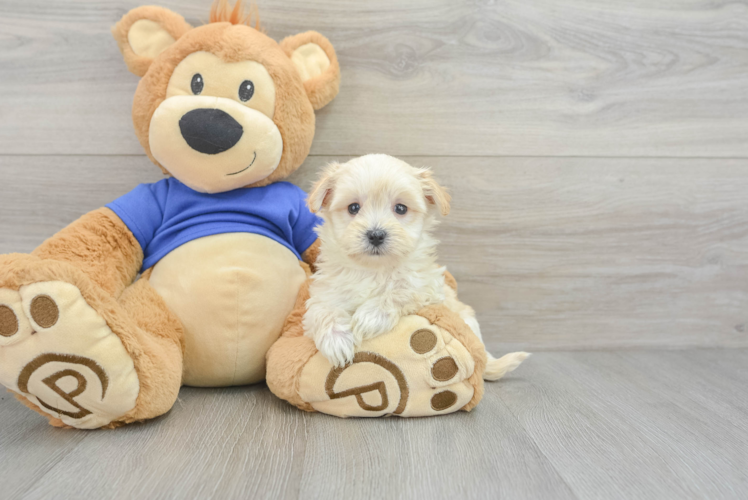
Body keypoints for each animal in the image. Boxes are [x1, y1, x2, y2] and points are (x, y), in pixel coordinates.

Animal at [302, 154, 524, 380]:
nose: (376, 235)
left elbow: (401, 292)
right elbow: (322, 310)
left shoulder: (428, 285)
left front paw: (369, 317)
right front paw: (336, 340)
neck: (375, 270)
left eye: (401, 208)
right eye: (353, 208)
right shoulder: (327, 290)